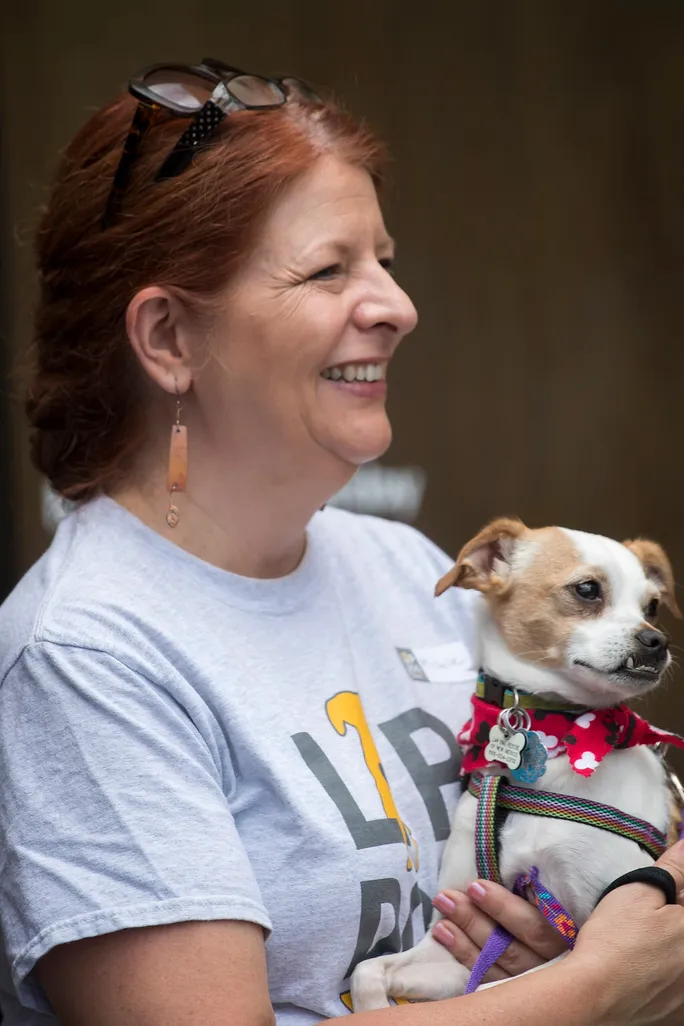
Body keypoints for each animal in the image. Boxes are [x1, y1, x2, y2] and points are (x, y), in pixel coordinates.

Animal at [352, 517, 684, 1005]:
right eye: (587, 589)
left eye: (653, 606)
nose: (656, 641)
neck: (559, 743)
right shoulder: (454, 940)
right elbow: (368, 971)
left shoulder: (598, 941)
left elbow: (496, 989)